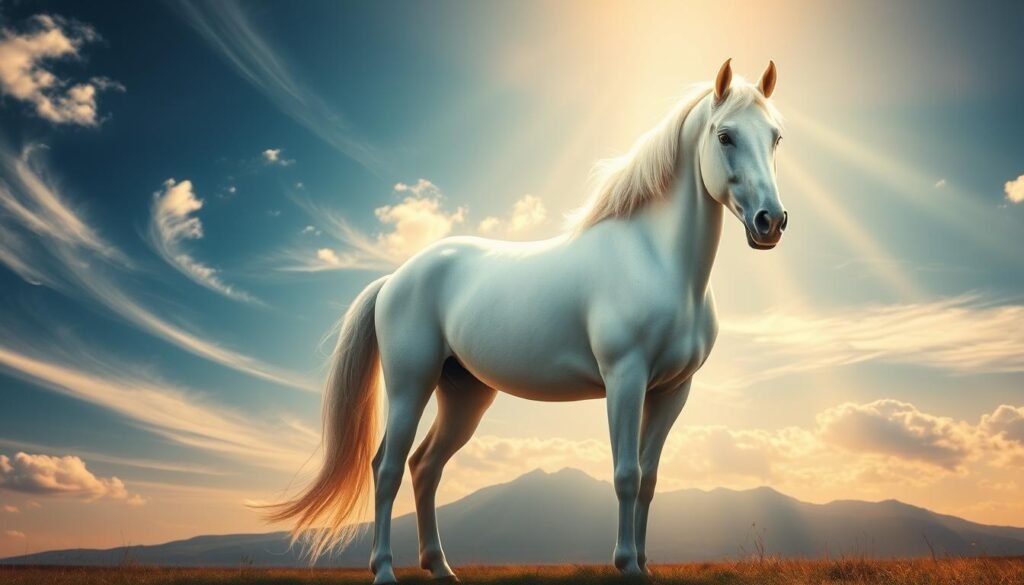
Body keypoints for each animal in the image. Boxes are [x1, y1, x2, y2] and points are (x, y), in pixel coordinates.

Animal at [269, 59, 788, 583]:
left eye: (776, 137)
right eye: (725, 136)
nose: (771, 223)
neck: (657, 260)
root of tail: (395, 278)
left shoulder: (672, 391)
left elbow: (649, 478)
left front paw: (642, 565)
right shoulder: (625, 378)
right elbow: (626, 474)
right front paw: (626, 564)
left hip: (464, 394)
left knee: (425, 466)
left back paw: (441, 567)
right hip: (410, 384)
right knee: (388, 468)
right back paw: (385, 571)